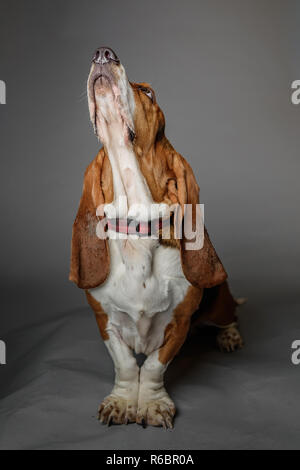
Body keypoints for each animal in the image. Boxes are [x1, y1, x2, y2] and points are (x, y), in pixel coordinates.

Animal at [69, 46, 243, 426]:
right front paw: (122, 401)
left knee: (231, 315)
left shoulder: (177, 324)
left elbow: (151, 367)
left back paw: (230, 336)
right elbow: (125, 365)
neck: (136, 228)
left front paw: (150, 404)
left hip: (219, 300)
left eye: (148, 93)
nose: (103, 53)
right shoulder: (105, 321)